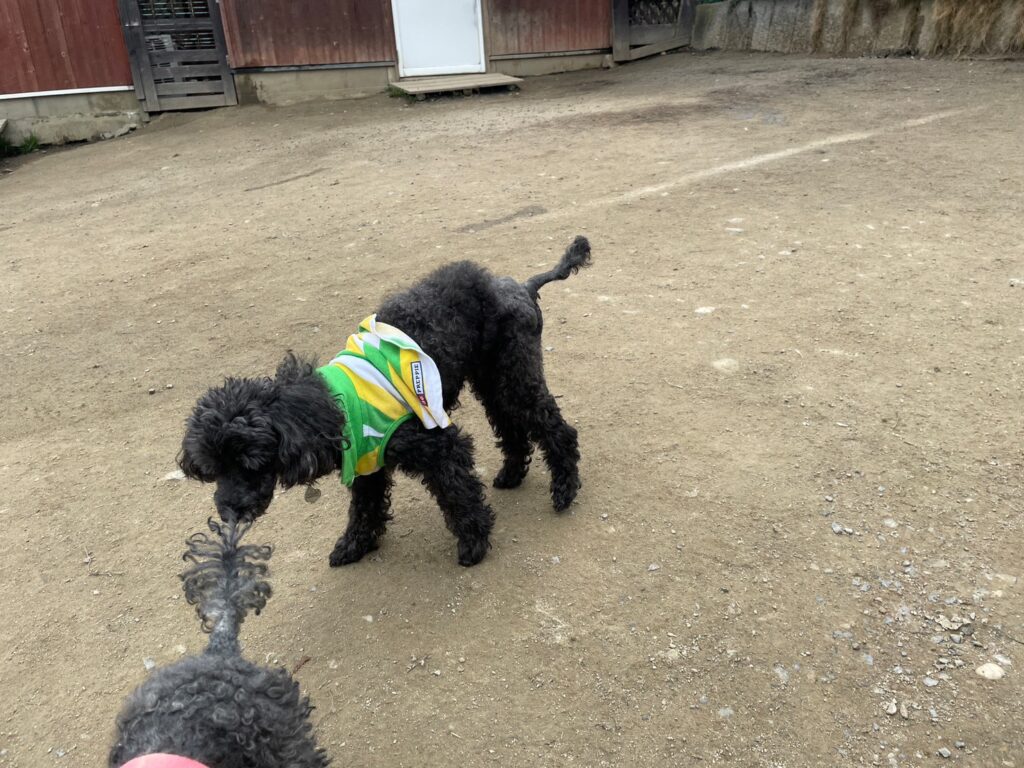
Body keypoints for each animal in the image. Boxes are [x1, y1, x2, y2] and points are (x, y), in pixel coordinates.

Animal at [179, 235, 592, 566]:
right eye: (213, 469)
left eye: (248, 464)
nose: (228, 513)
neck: (332, 411)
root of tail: (522, 285)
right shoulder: (367, 462)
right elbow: (364, 509)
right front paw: (353, 546)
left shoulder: (438, 445)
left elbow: (459, 494)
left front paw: (474, 543)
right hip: (491, 378)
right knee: (511, 425)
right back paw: (511, 475)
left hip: (514, 374)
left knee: (555, 428)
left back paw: (564, 491)